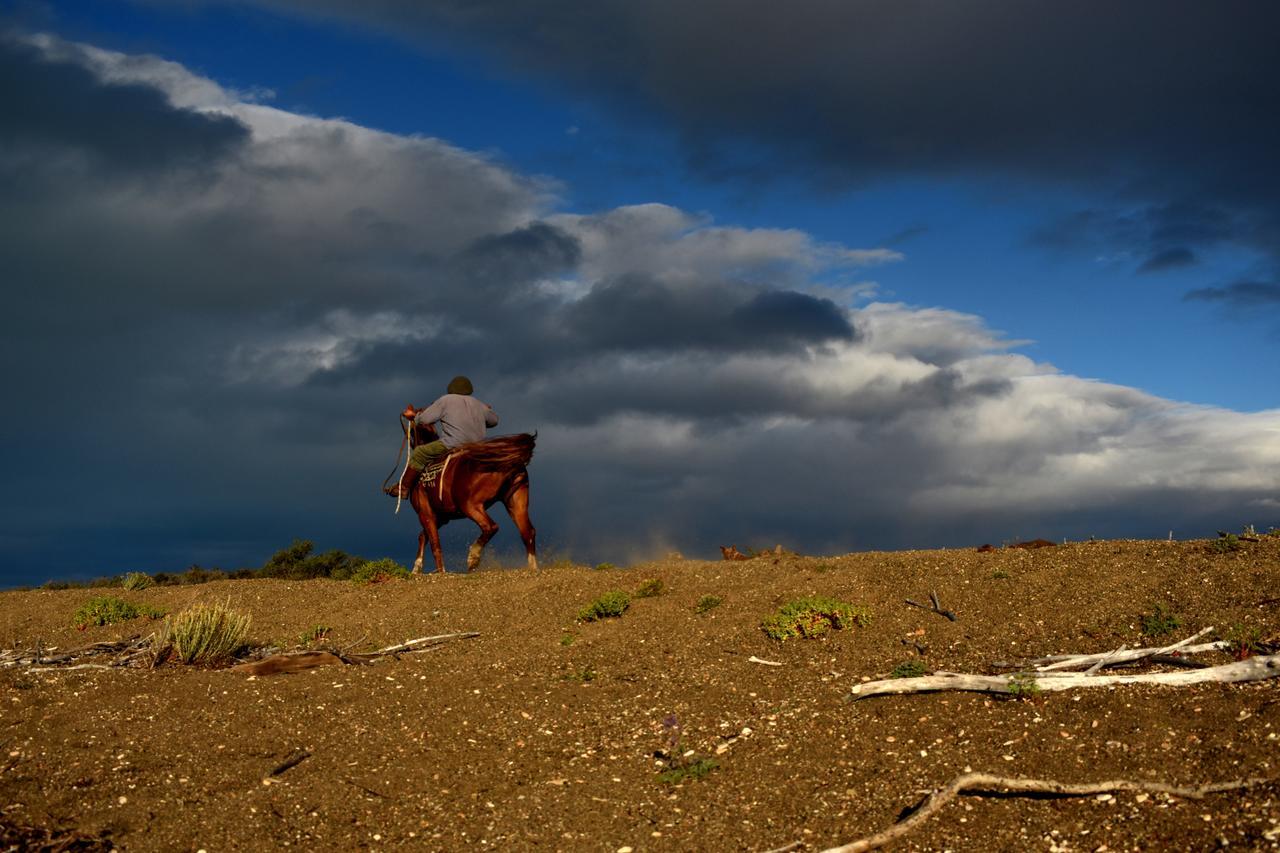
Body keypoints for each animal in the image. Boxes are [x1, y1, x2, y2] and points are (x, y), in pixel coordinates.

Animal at [404, 417, 535, 571]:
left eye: (412, 434)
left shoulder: (426, 513)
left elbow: (434, 543)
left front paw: (440, 571)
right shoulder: (441, 516)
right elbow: (424, 536)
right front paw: (417, 568)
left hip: (470, 506)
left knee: (490, 527)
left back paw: (473, 557)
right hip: (516, 503)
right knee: (528, 532)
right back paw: (533, 567)